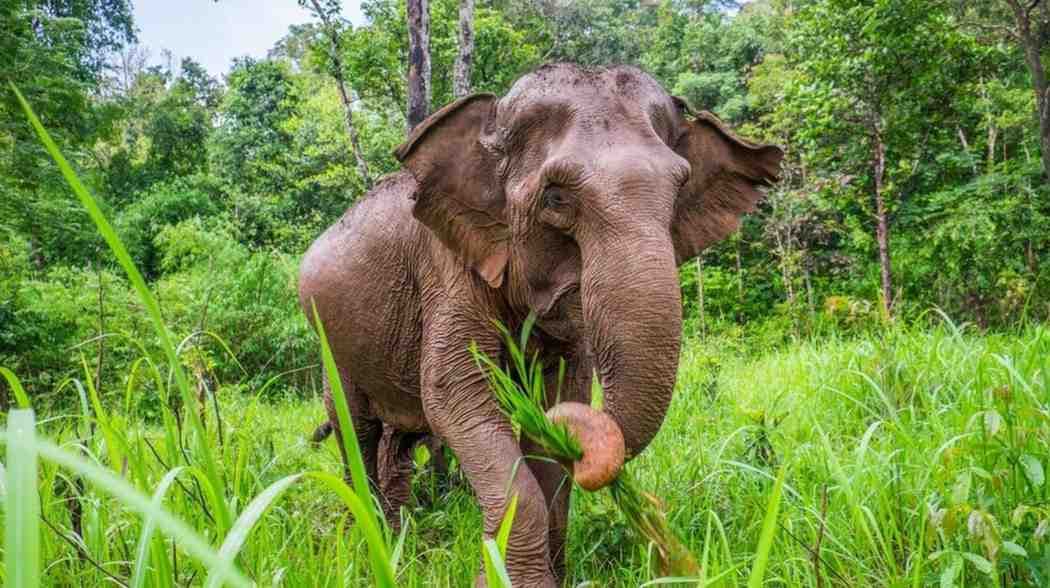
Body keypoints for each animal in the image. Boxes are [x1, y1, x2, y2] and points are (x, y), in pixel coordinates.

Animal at [298, 63, 783, 586]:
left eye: (679, 191)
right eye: (554, 198)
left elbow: (560, 400)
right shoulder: (448, 268)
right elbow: (454, 391)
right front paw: (507, 578)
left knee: (398, 441)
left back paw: (401, 536)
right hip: (332, 347)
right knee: (357, 430)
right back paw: (372, 544)